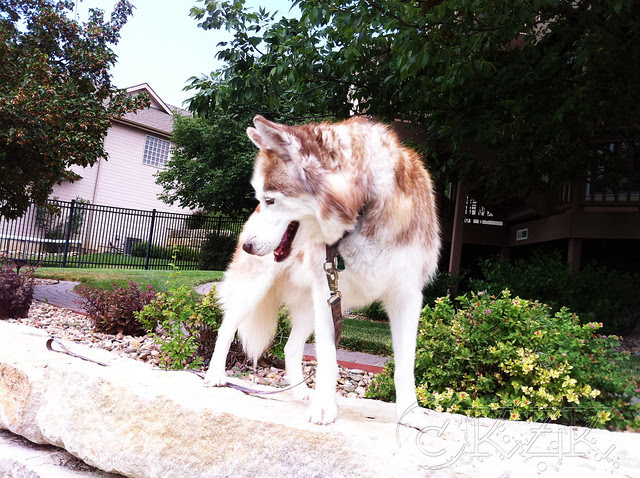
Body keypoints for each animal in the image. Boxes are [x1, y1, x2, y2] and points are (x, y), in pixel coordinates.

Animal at [204, 115, 440, 429]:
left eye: (270, 200)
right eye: (261, 199)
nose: (247, 245)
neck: (363, 209)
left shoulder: (406, 297)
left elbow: (405, 364)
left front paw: (410, 413)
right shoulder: (328, 296)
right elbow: (328, 358)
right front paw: (324, 407)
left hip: (309, 305)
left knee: (290, 348)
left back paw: (301, 392)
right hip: (255, 292)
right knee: (226, 328)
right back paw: (215, 375)